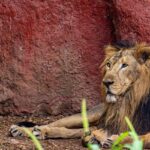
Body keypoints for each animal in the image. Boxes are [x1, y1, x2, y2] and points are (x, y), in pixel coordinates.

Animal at [9, 41, 150, 149]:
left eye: (124, 65)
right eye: (108, 65)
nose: (106, 83)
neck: (128, 100)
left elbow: (141, 139)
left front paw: (113, 140)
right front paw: (97, 138)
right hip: (89, 115)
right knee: (57, 124)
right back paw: (25, 130)